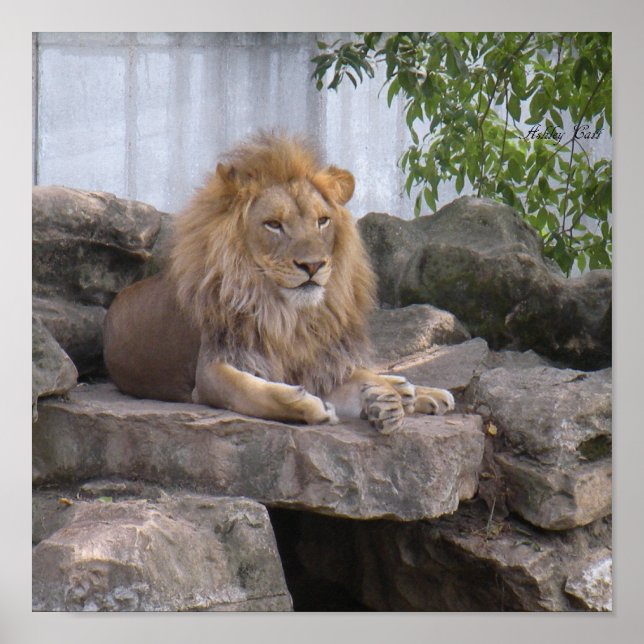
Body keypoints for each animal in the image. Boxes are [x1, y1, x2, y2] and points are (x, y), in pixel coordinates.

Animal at [103, 133, 454, 434]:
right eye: (273, 225)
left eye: (322, 221)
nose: (313, 265)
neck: (286, 315)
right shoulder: (211, 371)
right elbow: (250, 390)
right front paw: (310, 405)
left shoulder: (313, 363)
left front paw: (384, 399)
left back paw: (419, 392)